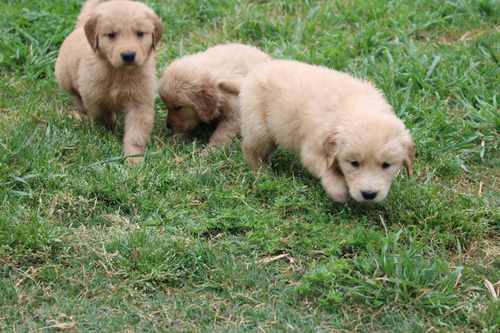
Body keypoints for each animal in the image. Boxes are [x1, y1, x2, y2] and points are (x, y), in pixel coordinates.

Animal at [55, 0, 163, 164]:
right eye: (111, 35)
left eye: (139, 33)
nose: (128, 55)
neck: (119, 73)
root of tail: (80, 27)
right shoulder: (93, 97)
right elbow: (101, 116)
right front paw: (107, 131)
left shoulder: (140, 104)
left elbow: (135, 135)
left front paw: (134, 160)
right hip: (64, 77)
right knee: (75, 94)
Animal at [222, 59, 414, 202]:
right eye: (354, 163)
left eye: (386, 165)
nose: (369, 194)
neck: (359, 108)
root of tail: (250, 75)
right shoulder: (312, 151)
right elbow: (327, 173)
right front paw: (340, 191)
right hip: (259, 127)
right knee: (251, 149)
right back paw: (261, 173)